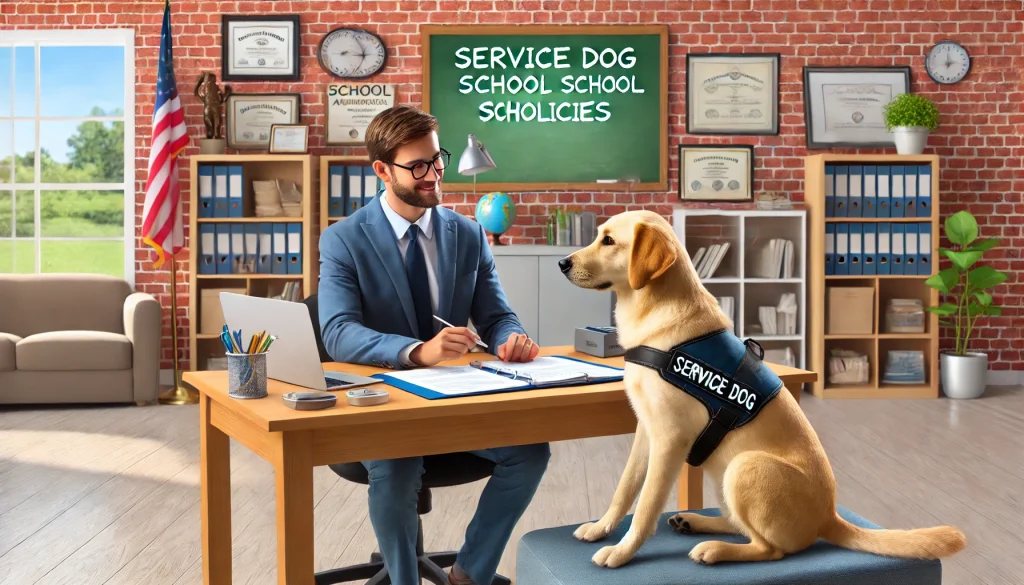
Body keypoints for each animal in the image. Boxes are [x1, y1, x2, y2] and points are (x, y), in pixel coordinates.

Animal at [561, 209, 966, 569]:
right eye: (598, 235)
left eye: (609, 241)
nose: (563, 262)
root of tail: (829, 517)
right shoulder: (646, 431)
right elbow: (624, 488)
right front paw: (601, 529)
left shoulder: (670, 440)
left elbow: (645, 506)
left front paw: (621, 553)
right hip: (724, 473)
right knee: (741, 526)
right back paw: (694, 521)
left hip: (745, 465)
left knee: (770, 549)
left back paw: (715, 549)